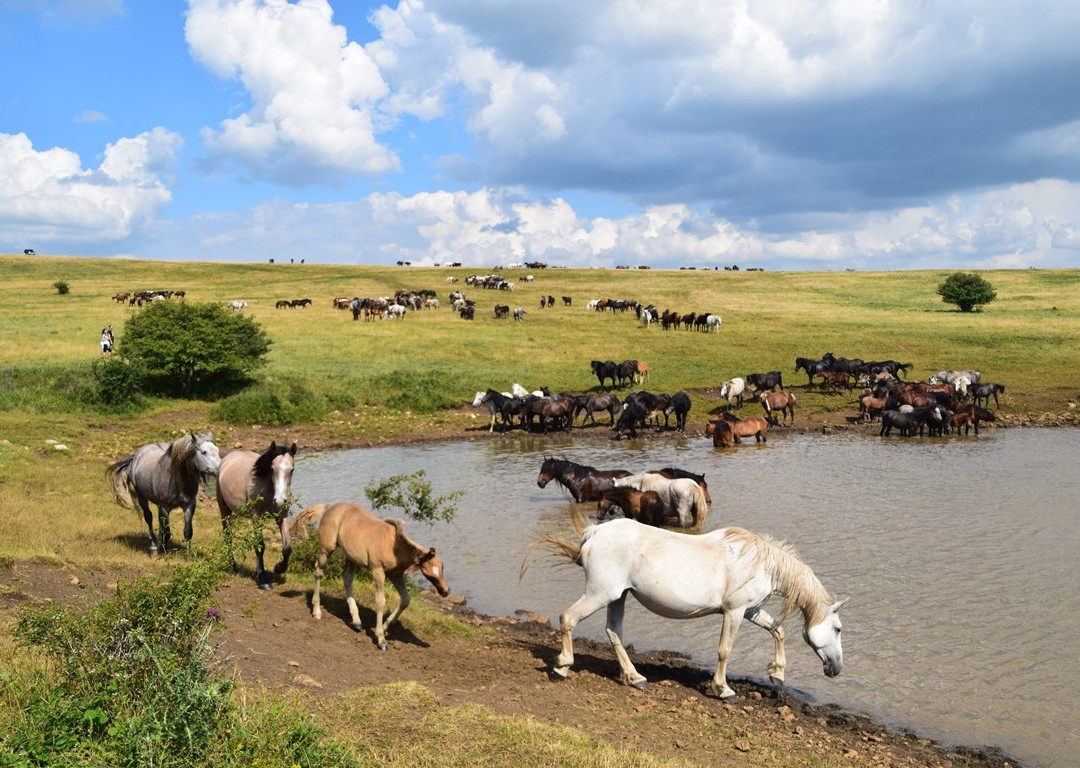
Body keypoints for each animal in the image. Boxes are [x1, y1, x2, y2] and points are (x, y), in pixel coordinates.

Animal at [216, 440, 298, 591]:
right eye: (272, 468)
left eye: (292, 469)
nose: (279, 500)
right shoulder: (256, 516)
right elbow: (260, 546)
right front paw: (262, 579)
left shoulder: (281, 517)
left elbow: (287, 547)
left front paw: (279, 568)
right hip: (224, 510)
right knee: (228, 536)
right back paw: (232, 566)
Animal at [285, 501, 449, 652]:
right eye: (427, 572)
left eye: (442, 567)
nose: (445, 591)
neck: (394, 546)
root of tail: (329, 506)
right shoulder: (378, 571)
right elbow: (381, 602)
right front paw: (381, 639)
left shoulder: (395, 575)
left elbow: (405, 599)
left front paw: (385, 626)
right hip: (327, 548)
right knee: (318, 571)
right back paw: (317, 610)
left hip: (351, 556)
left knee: (347, 578)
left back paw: (356, 621)